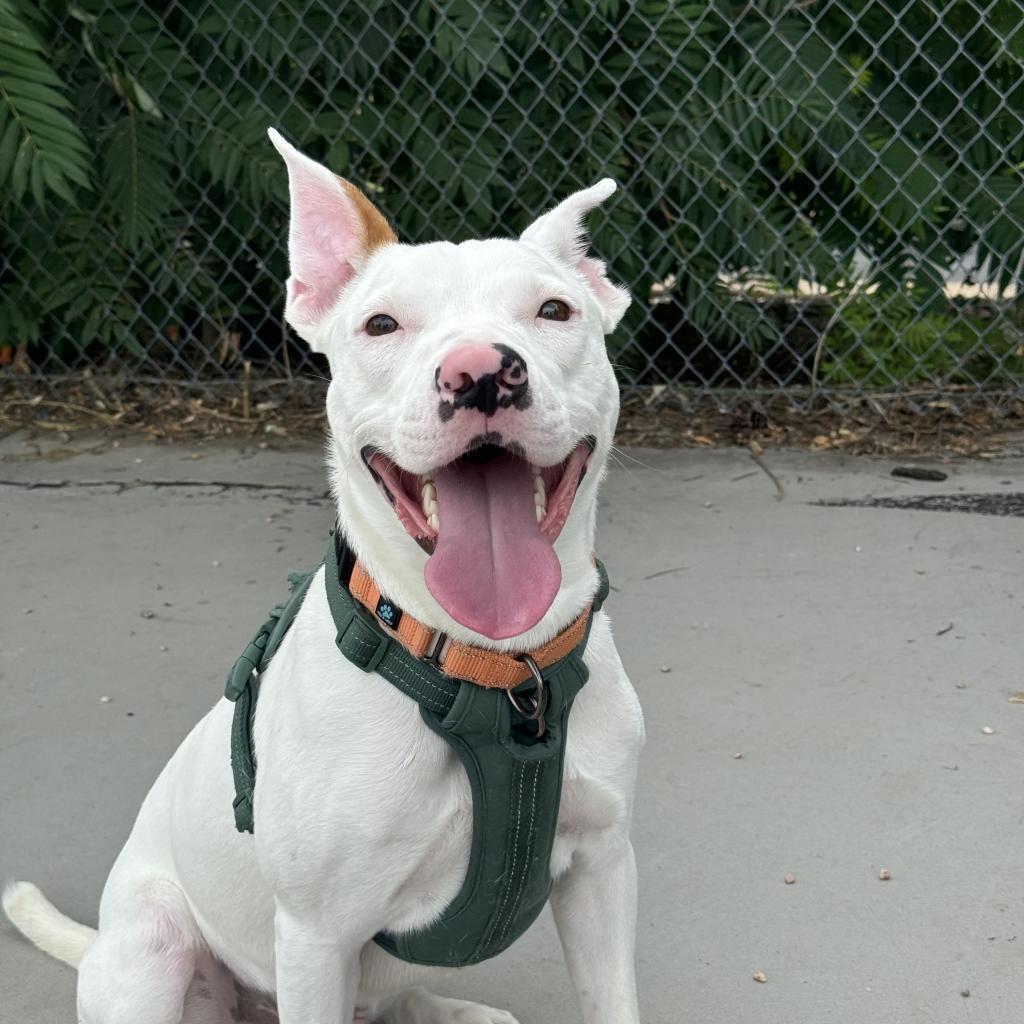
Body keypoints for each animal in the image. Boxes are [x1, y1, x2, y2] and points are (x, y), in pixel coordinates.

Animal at [4, 128, 643, 1024]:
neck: (490, 668)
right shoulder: (316, 934)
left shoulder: (603, 871)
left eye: (554, 311)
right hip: (153, 947)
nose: (481, 372)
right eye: (381, 324)